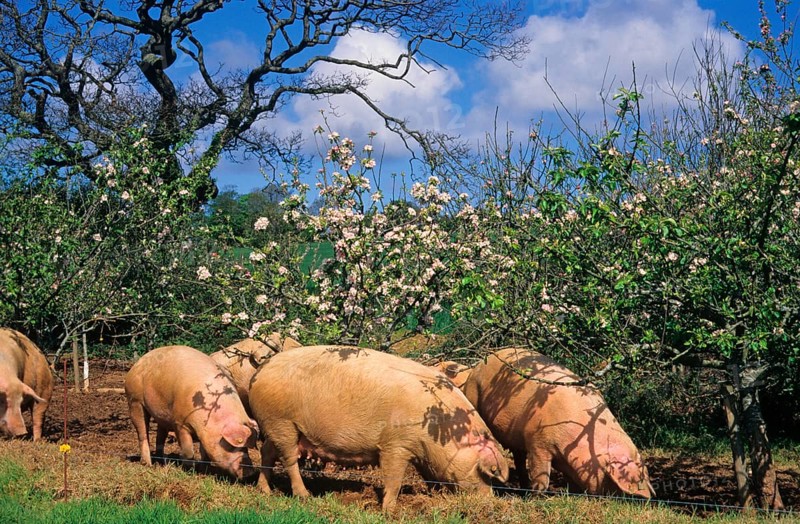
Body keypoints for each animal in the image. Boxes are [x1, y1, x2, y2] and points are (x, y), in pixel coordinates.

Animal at [124, 345, 259, 480]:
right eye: (231, 446)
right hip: (134, 400)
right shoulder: (179, 422)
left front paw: (204, 470)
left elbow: (204, 452)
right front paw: (189, 471)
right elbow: (188, 451)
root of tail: (137, 364)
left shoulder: (205, 432)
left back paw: (162, 461)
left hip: (161, 415)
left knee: (160, 436)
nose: (251, 473)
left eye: (247, 448)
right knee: (142, 433)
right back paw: (147, 464)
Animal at [249, 345, 509, 511]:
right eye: (486, 473)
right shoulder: (396, 444)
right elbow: (394, 477)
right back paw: (305, 496)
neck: (438, 430)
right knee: (289, 459)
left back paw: (265, 491)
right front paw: (389, 510)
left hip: (275, 426)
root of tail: (260, 371)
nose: (490, 501)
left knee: (267, 452)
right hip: (282, 422)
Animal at [461, 347, 653, 498]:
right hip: (472, 394)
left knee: (519, 459)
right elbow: (541, 473)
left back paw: (523, 488)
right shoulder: (538, 441)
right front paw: (537, 497)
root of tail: (479, 365)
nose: (647, 498)